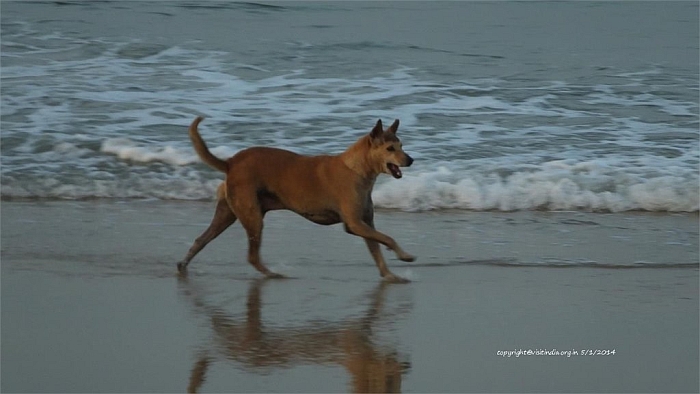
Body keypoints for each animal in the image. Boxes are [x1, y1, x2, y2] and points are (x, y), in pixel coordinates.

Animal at [178, 115, 412, 282]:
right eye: (390, 148)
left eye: (401, 146)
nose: (411, 159)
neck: (357, 170)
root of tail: (230, 162)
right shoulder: (354, 223)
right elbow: (387, 238)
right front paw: (405, 256)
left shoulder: (365, 222)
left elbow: (377, 250)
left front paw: (390, 275)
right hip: (252, 216)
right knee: (252, 255)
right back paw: (273, 274)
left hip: (227, 213)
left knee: (201, 239)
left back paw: (182, 265)